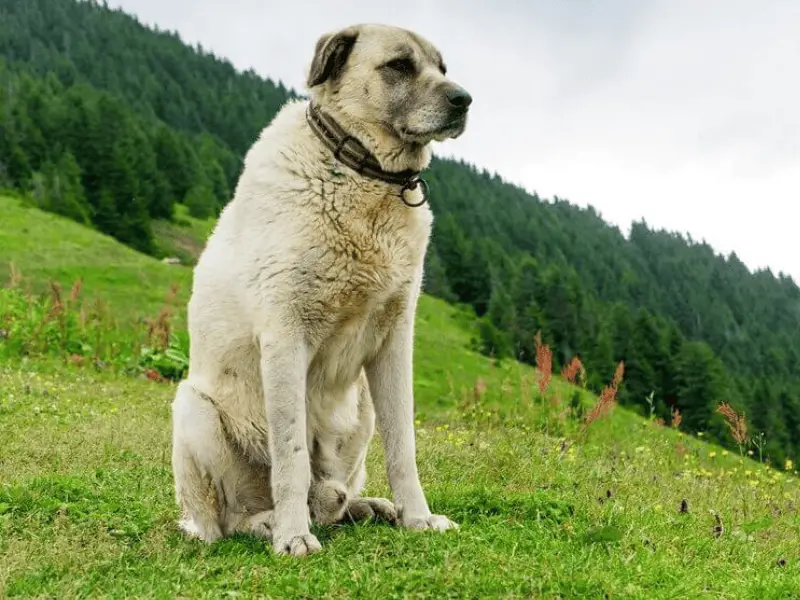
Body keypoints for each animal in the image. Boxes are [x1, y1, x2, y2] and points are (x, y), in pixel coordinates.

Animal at [169, 23, 468, 556]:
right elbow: (290, 456)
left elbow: (403, 446)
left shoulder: (395, 340)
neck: (363, 174)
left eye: (442, 68)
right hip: (193, 408)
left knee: (335, 494)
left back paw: (367, 507)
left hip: (361, 408)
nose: (464, 100)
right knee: (226, 521)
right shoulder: (286, 337)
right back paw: (267, 524)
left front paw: (418, 517)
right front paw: (292, 536)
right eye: (399, 65)